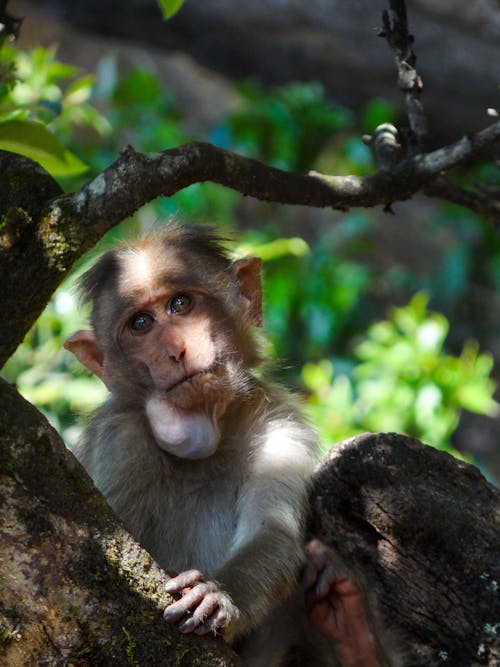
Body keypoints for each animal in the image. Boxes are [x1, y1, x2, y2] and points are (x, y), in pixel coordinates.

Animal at [65, 222, 402, 664]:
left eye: (180, 303)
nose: (175, 351)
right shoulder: (121, 440)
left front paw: (218, 595)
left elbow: (272, 533)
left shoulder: (280, 424)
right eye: (140, 324)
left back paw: (352, 629)